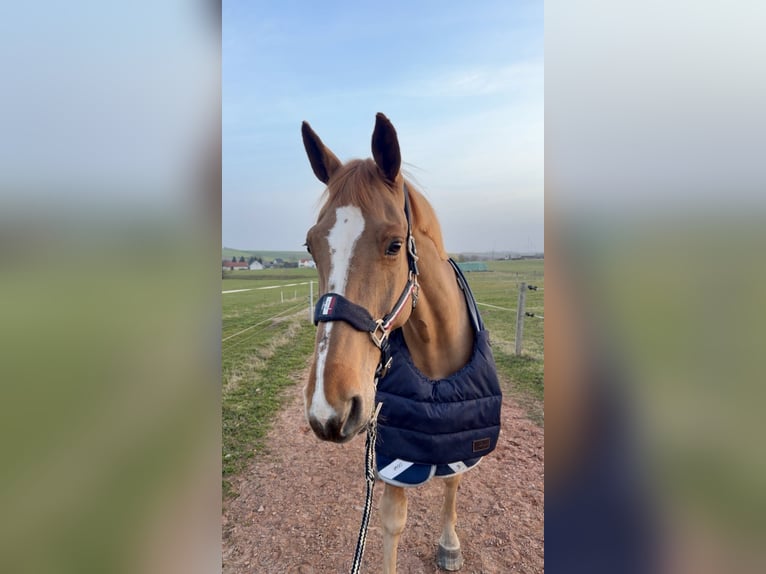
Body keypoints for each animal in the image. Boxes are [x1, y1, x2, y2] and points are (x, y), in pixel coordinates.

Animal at [301, 113, 502, 573]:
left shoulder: (459, 437)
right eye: (310, 246)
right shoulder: (393, 459)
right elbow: (391, 524)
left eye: (395, 244)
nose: (327, 407)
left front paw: (449, 544)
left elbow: (453, 482)